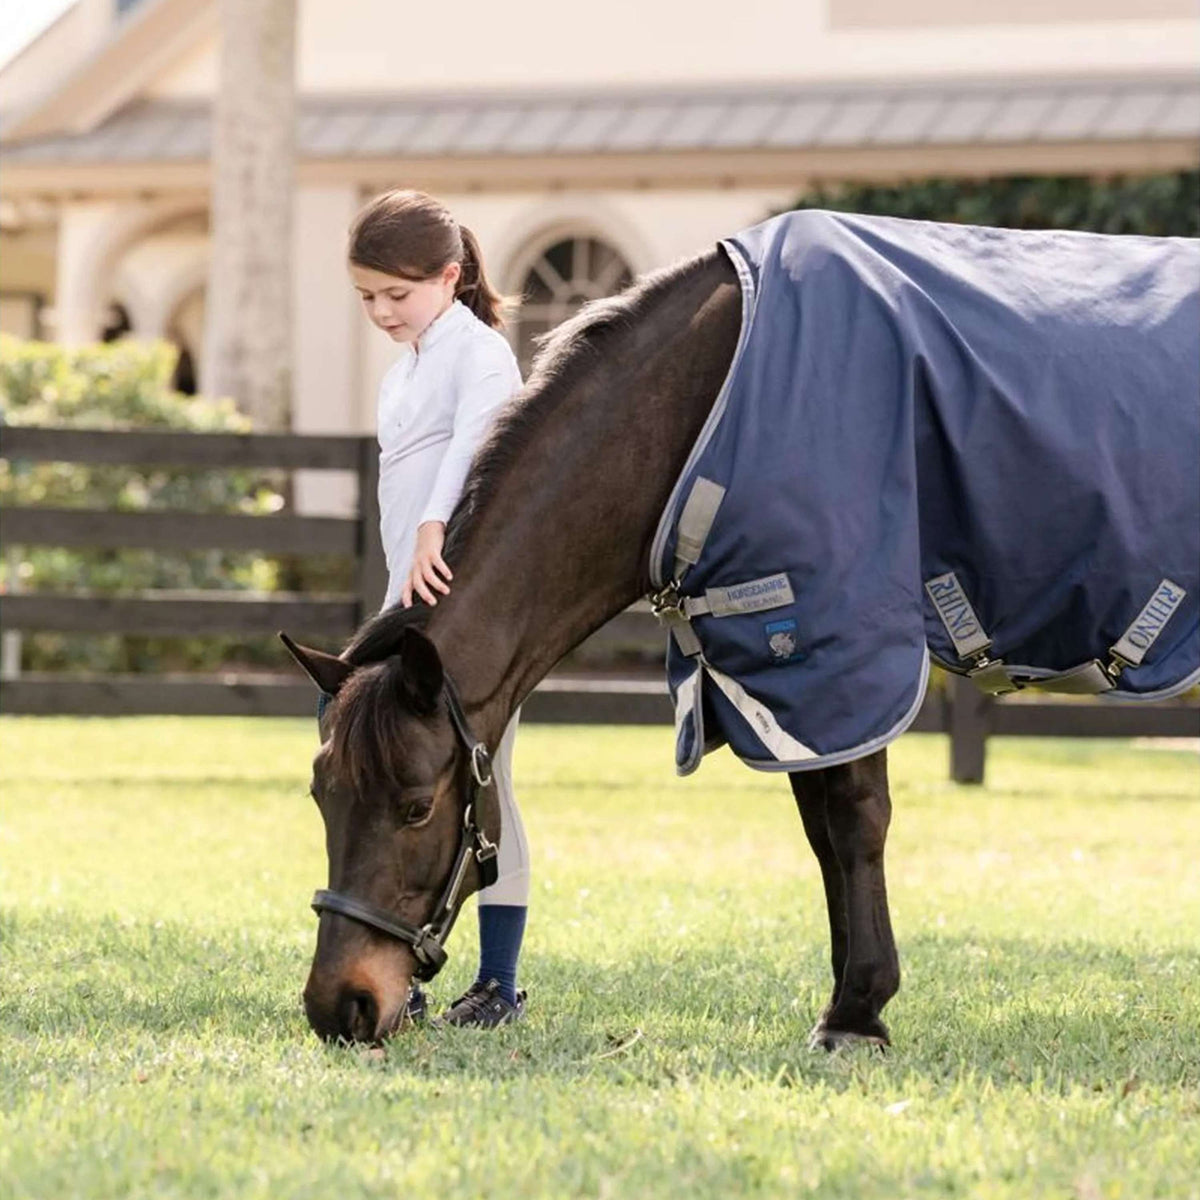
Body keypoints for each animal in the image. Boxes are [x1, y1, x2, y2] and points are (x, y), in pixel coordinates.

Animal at [283, 210, 1197, 1047]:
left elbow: (856, 819)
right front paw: (846, 998)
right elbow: (822, 830)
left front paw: (858, 1015)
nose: (341, 1007)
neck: (712, 402)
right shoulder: (780, 680)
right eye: (322, 795)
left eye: (412, 807)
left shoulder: (839, 646)